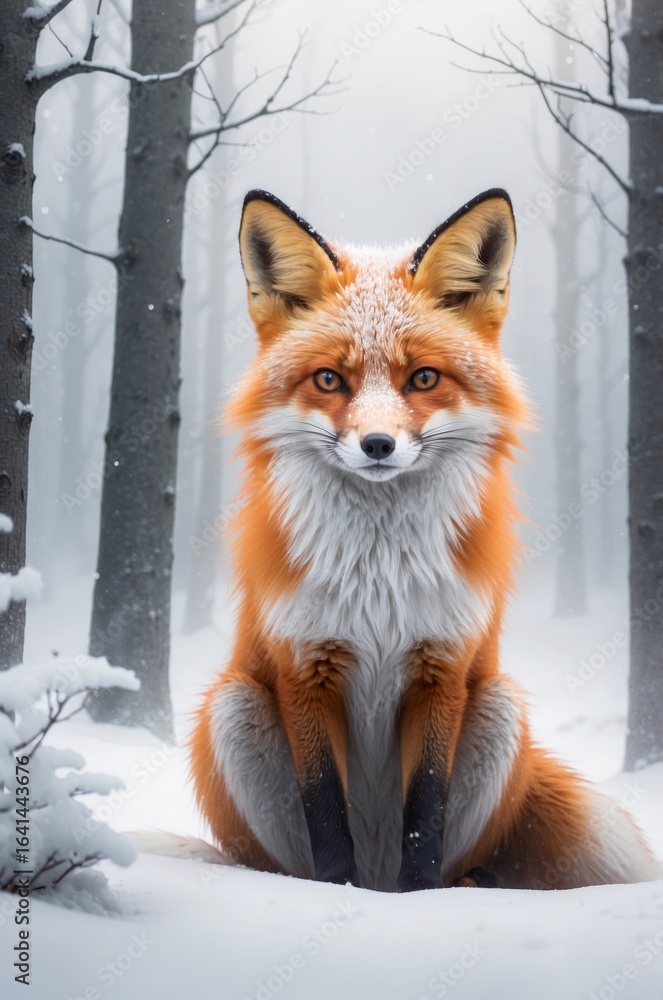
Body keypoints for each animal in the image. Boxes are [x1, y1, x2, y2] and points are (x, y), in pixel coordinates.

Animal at [188, 188, 660, 892]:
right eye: (329, 380)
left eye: (424, 379)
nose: (378, 444)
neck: (379, 573)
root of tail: (376, 867)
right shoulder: (305, 668)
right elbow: (324, 811)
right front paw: (335, 893)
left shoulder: (444, 668)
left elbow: (426, 810)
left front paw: (420, 900)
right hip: (233, 704)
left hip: (499, 705)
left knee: (458, 850)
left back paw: (460, 885)